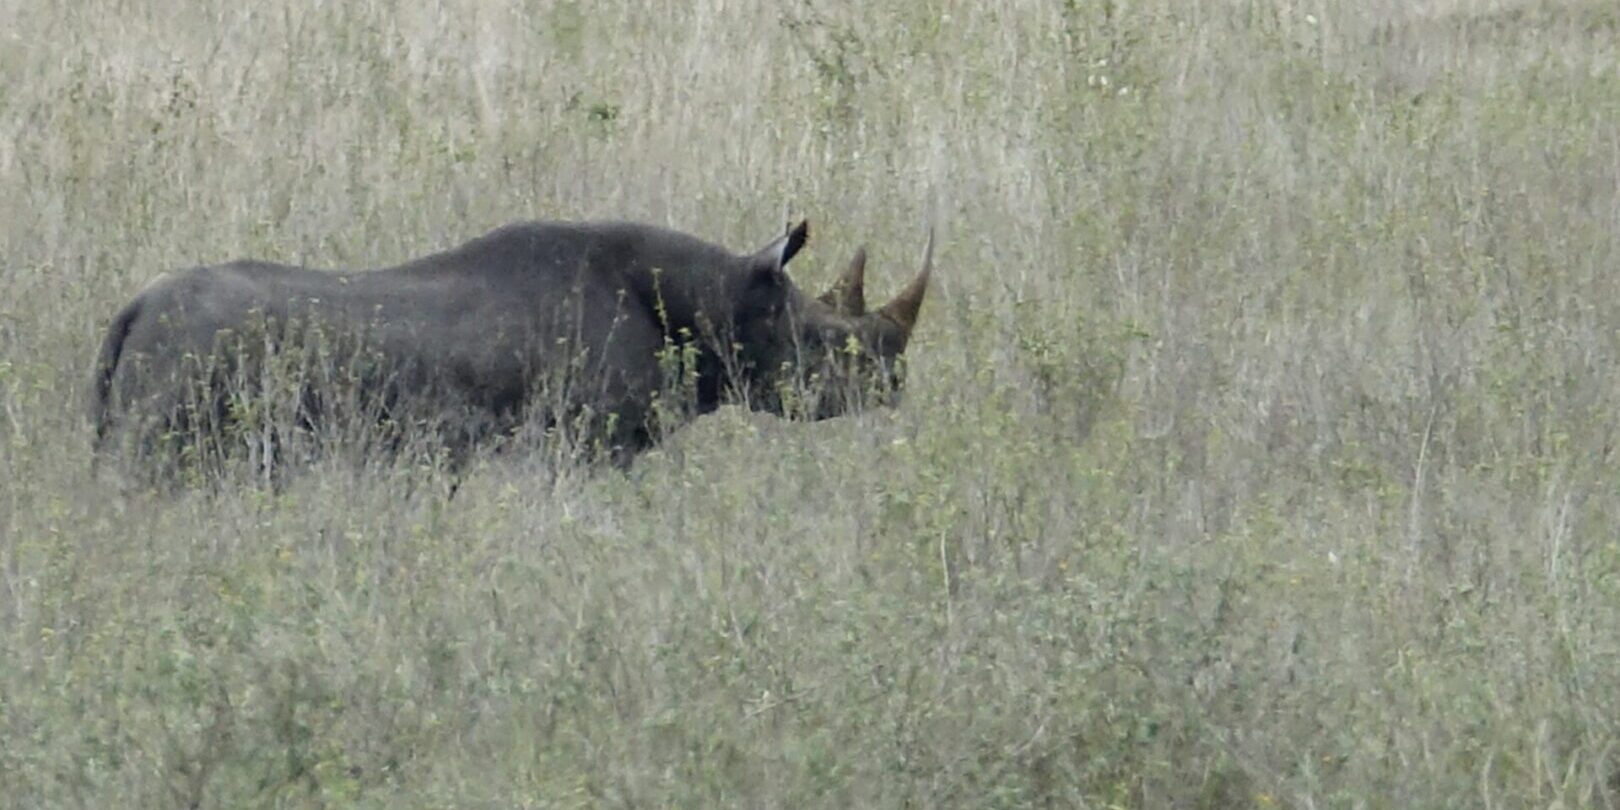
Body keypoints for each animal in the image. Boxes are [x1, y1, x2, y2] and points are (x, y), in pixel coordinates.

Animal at [90, 218, 931, 483]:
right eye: (826, 344)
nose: (894, 383)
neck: (723, 297)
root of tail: (135, 309)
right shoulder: (589, 445)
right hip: (189, 368)